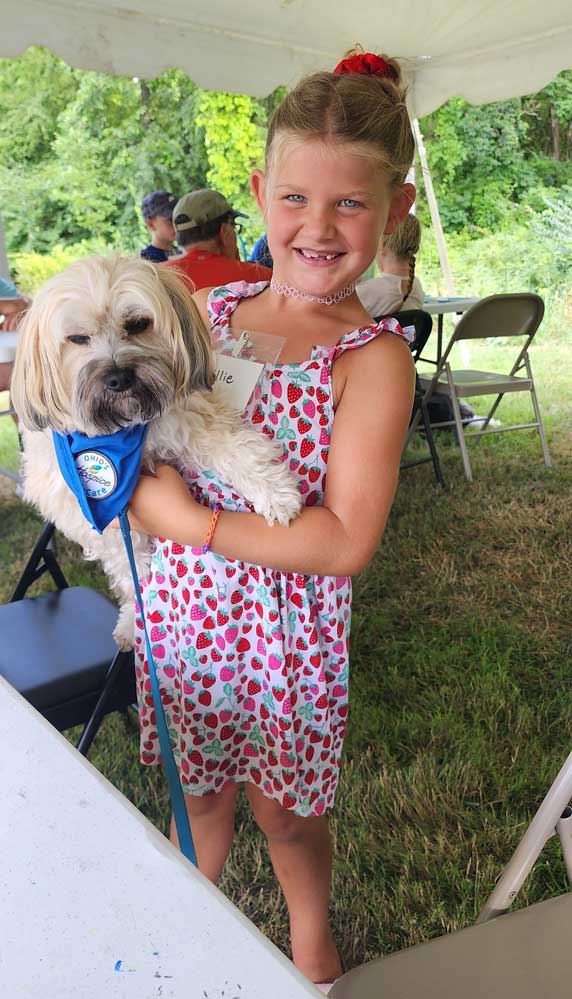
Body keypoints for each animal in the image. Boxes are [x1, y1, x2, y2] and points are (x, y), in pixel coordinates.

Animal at [11, 256, 302, 648]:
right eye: (77, 339)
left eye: (137, 324)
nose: (118, 378)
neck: (123, 431)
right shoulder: (77, 504)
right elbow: (124, 559)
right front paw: (132, 616)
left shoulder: (190, 420)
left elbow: (235, 448)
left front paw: (275, 493)